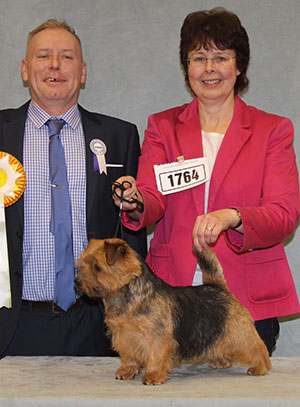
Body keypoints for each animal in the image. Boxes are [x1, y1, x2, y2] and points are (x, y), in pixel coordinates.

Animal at [75, 239, 272, 386]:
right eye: (81, 264)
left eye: (97, 267)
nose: (76, 282)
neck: (124, 295)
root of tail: (219, 287)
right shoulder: (125, 335)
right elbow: (129, 356)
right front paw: (127, 371)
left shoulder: (157, 337)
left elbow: (155, 356)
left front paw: (153, 376)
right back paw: (221, 361)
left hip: (239, 332)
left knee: (257, 347)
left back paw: (261, 367)